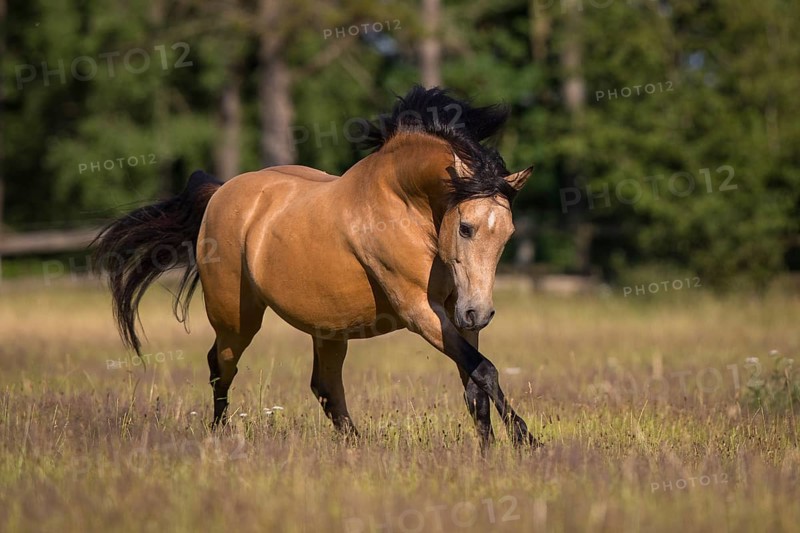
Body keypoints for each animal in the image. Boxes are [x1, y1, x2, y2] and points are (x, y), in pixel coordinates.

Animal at [94, 86, 537, 448]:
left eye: (508, 234)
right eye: (465, 227)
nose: (480, 313)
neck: (406, 205)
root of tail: (221, 192)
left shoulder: (454, 311)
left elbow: (475, 380)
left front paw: (490, 450)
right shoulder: (419, 311)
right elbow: (484, 370)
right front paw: (525, 440)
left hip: (328, 327)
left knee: (324, 386)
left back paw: (356, 445)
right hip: (236, 319)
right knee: (221, 366)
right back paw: (220, 433)